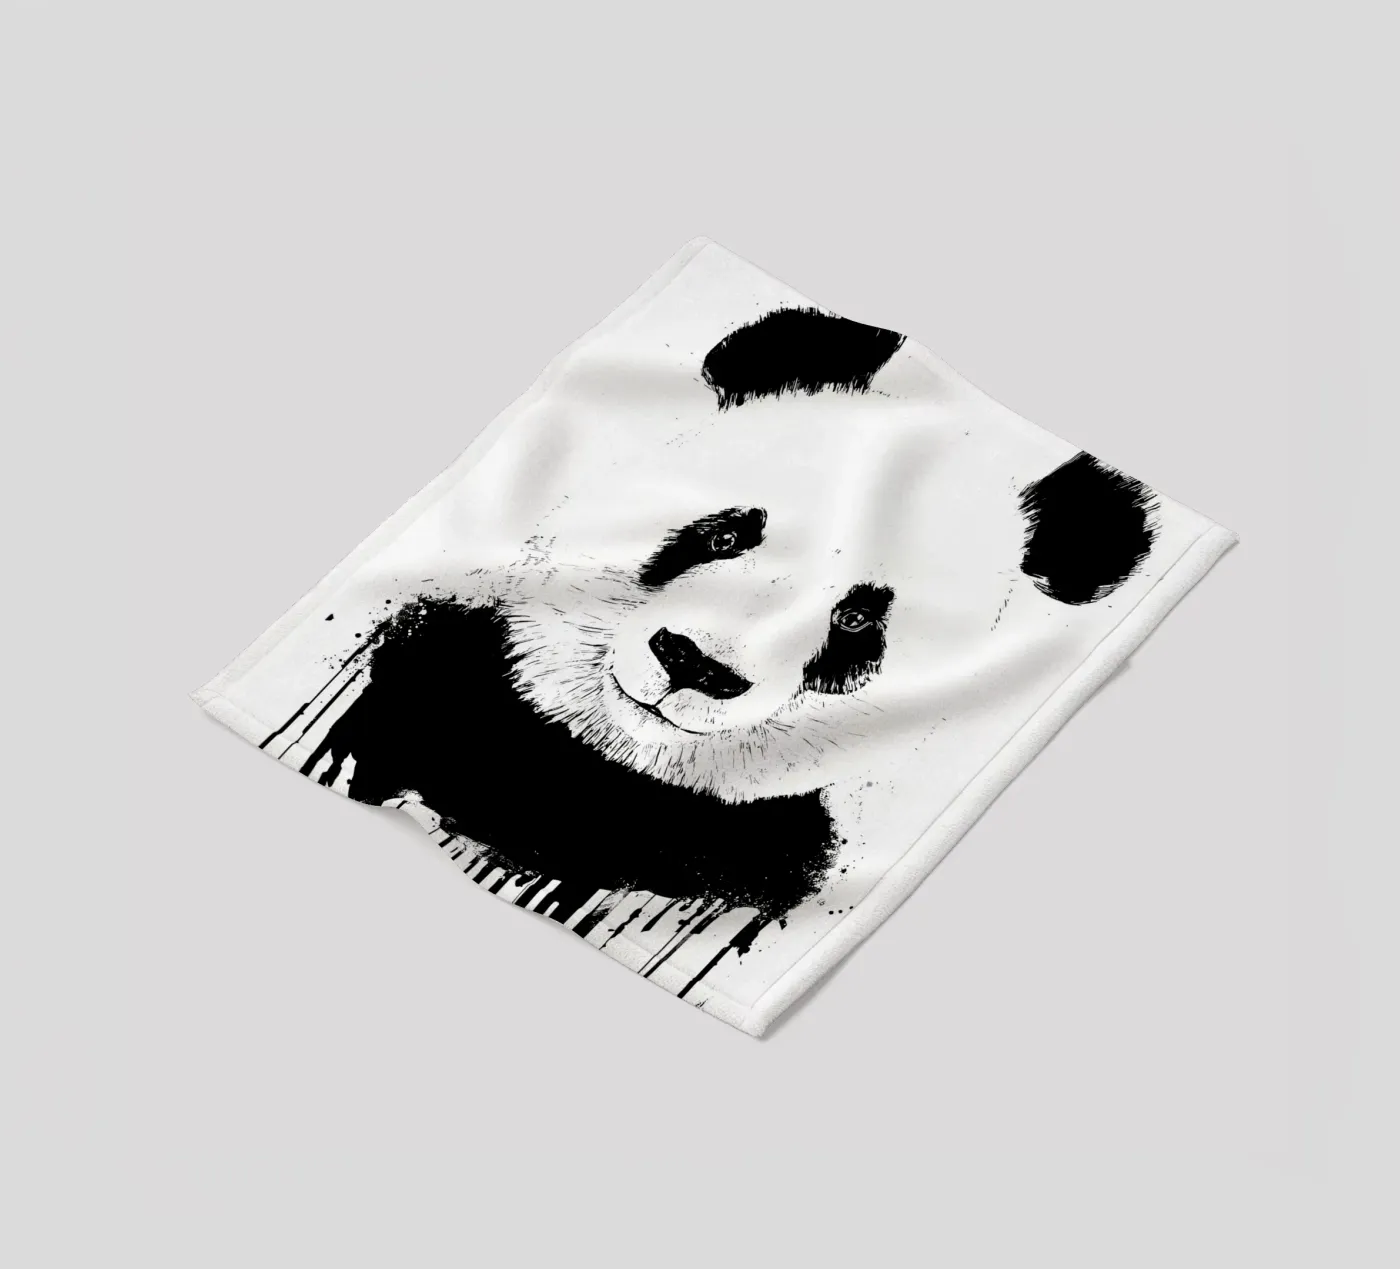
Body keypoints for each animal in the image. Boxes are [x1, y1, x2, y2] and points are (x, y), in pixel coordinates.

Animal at [287, 307, 1156, 974]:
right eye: (728, 531)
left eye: (856, 620)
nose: (694, 662)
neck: (601, 761)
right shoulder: (444, 674)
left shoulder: (751, 842)